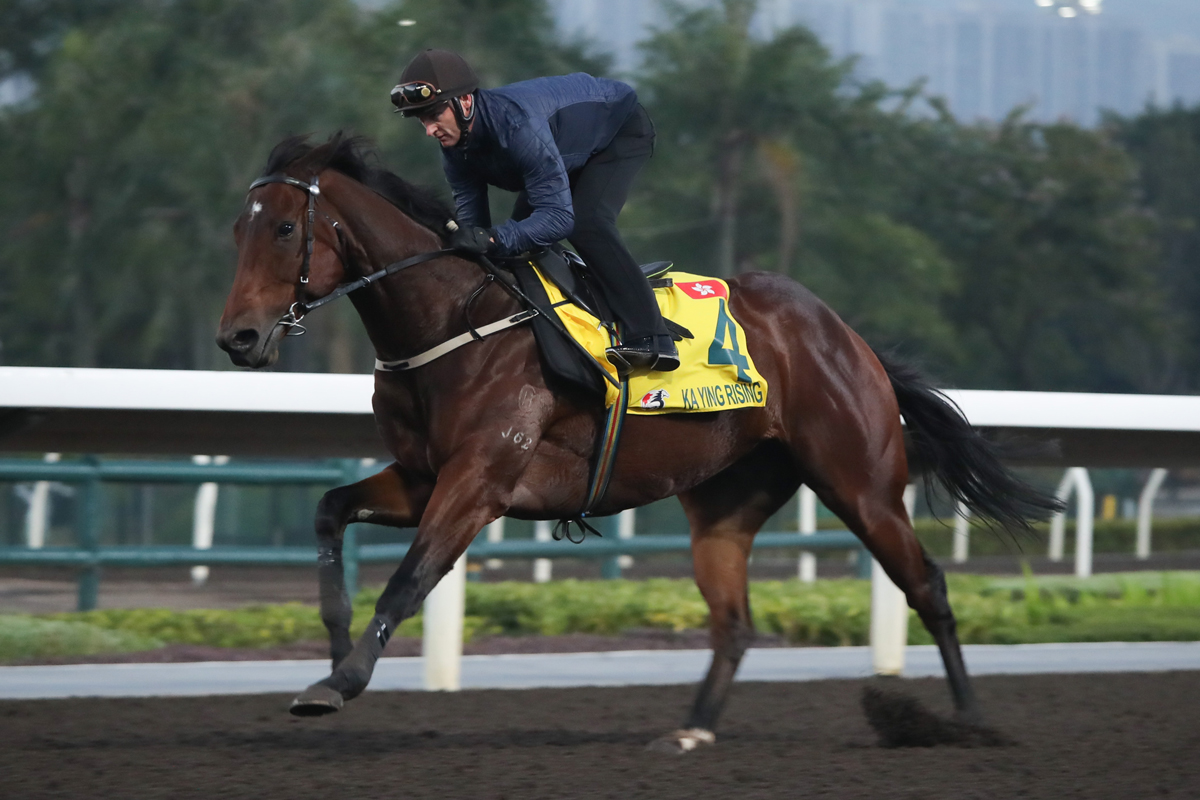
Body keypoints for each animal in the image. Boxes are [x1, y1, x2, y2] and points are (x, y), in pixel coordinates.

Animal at [218, 131, 1060, 753]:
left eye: (285, 228)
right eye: (238, 229)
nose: (239, 338)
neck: (454, 321)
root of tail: (848, 337)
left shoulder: (480, 480)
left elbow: (411, 577)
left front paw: (338, 683)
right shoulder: (423, 474)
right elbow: (329, 514)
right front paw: (332, 653)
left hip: (862, 483)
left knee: (930, 588)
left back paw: (969, 722)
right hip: (724, 504)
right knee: (734, 622)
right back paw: (691, 731)